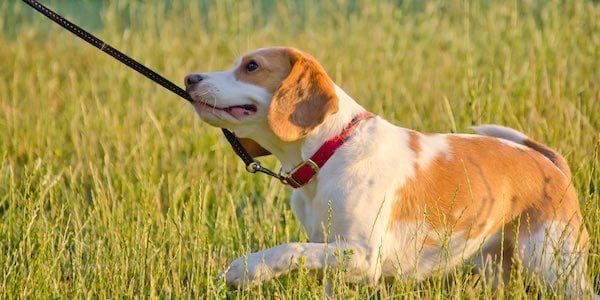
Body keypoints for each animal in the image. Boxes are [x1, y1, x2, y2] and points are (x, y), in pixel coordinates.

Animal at [184, 47, 596, 298]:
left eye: (252, 66)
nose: (189, 78)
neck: (331, 151)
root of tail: (552, 165)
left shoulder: (365, 256)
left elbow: (286, 249)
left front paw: (244, 269)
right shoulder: (332, 256)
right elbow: (303, 253)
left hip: (556, 267)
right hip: (499, 268)